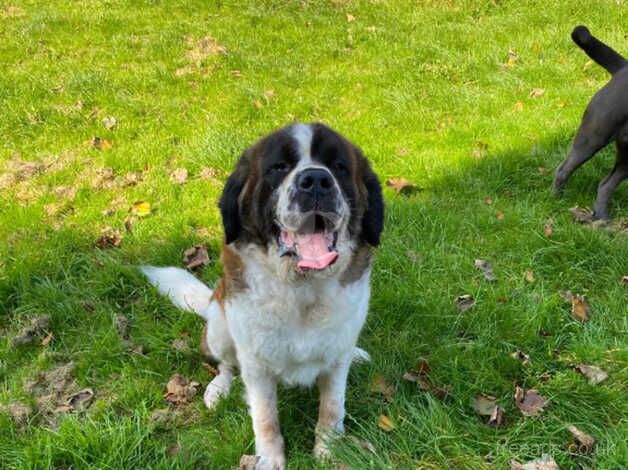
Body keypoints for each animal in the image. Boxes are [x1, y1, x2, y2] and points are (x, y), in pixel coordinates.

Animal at [142, 123, 382, 468]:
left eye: (338, 167)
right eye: (278, 167)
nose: (316, 180)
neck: (302, 288)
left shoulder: (337, 360)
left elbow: (332, 406)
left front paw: (329, 450)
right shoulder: (256, 366)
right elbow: (266, 417)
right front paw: (269, 458)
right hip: (220, 327)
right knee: (225, 364)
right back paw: (218, 389)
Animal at [552, 23, 624, 218]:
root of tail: (623, 67)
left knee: (605, 185)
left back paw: (602, 218)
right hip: (591, 138)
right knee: (563, 169)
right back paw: (555, 200)